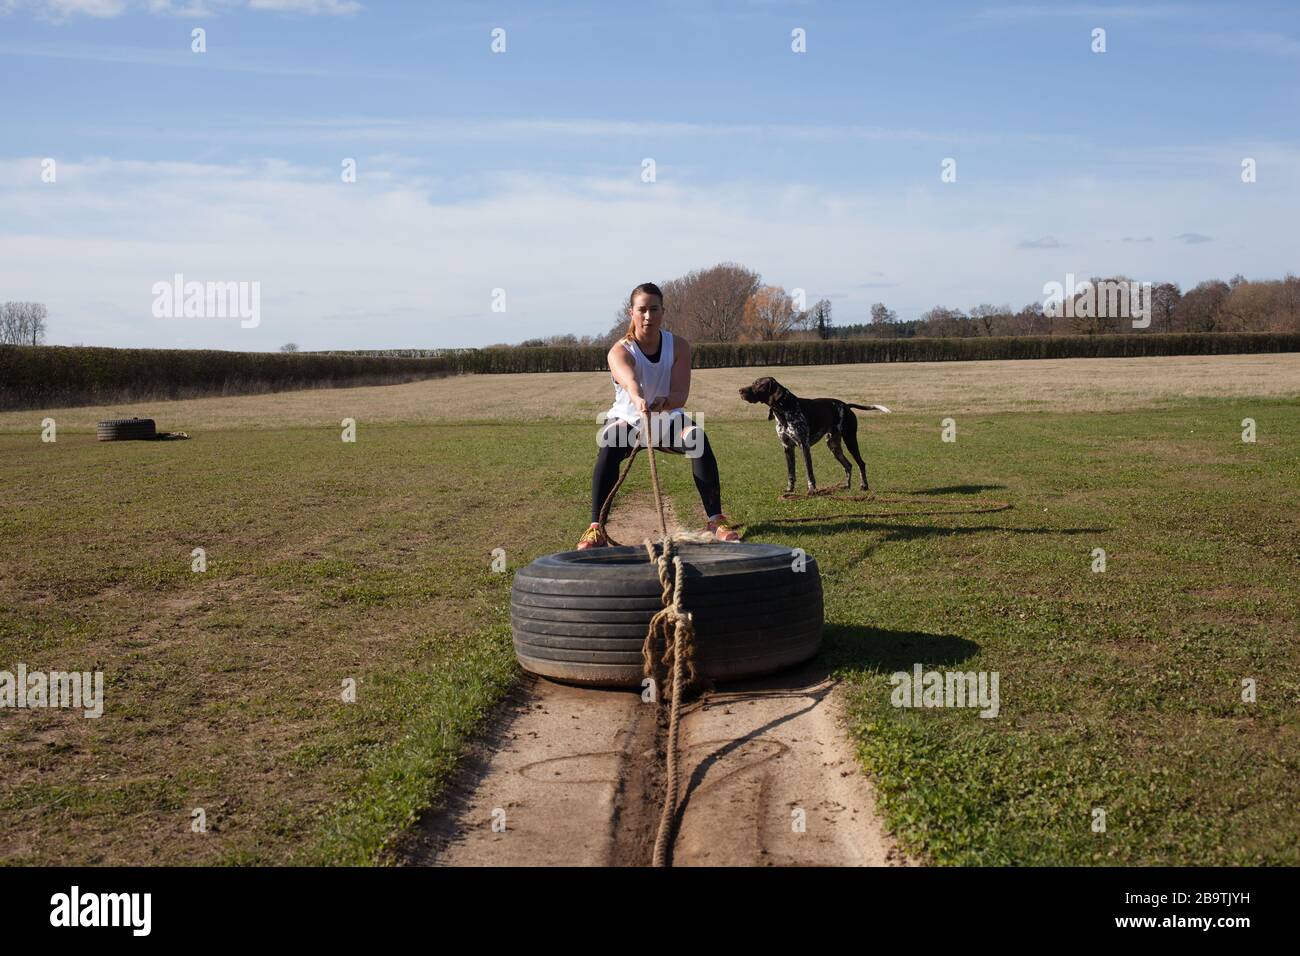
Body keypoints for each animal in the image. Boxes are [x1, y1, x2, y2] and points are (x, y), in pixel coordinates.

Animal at [738, 374, 889, 494]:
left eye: (758, 384)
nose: (739, 390)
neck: (784, 411)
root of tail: (846, 405)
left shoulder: (804, 446)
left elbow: (809, 472)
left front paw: (811, 490)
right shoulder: (787, 448)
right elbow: (791, 473)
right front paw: (790, 489)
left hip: (850, 440)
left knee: (861, 463)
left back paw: (864, 485)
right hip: (833, 446)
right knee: (848, 465)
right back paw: (846, 486)